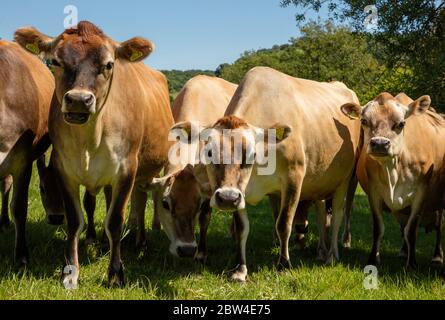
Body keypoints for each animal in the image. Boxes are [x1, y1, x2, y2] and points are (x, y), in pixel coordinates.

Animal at [14, 22, 173, 288]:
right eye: (56, 62)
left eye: (108, 65)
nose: (78, 100)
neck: (89, 140)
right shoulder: (65, 169)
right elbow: (75, 219)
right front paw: (70, 271)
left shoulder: (127, 169)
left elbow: (115, 221)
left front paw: (116, 273)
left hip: (148, 169)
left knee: (141, 201)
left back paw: (140, 242)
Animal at [173, 67, 360, 280]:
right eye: (209, 152)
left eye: (251, 154)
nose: (227, 198)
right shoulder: (241, 191)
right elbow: (242, 228)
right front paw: (240, 270)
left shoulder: (293, 178)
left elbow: (284, 224)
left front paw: (284, 265)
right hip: (320, 182)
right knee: (322, 214)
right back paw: (321, 251)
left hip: (345, 180)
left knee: (337, 215)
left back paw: (332, 255)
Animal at [342, 92, 444, 270]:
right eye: (364, 121)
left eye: (401, 123)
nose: (379, 143)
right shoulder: (374, 192)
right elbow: (379, 228)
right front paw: (373, 259)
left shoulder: (421, 193)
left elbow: (411, 230)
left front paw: (412, 264)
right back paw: (403, 251)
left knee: (438, 226)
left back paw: (437, 256)